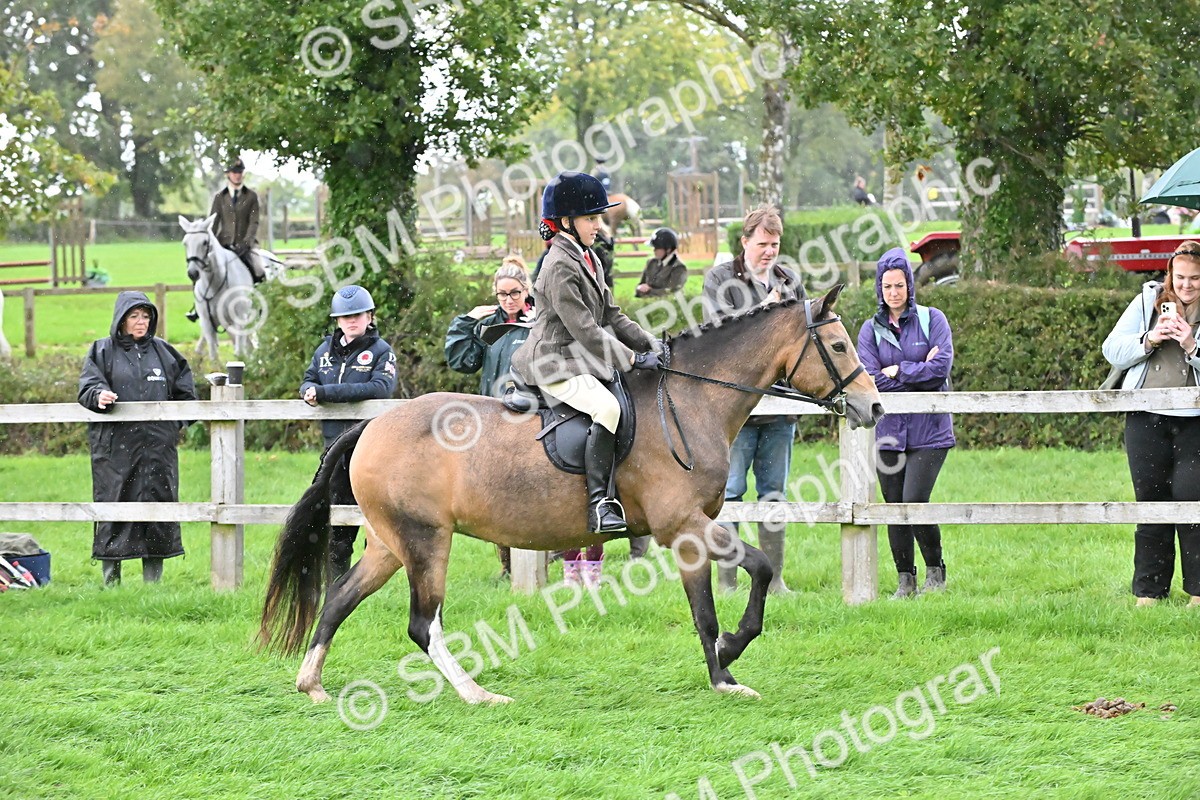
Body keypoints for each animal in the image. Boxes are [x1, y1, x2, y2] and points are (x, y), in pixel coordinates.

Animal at [178, 214, 279, 359]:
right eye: (185, 243)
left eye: (204, 242)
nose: (193, 273)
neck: (215, 284)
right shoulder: (208, 323)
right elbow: (214, 355)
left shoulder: (240, 319)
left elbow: (239, 352)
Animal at [258, 286, 883, 704]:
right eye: (837, 345)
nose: (874, 407)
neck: (689, 400)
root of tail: (371, 425)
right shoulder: (681, 524)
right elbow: (753, 573)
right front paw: (731, 654)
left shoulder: (691, 533)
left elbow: (705, 609)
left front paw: (723, 675)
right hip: (426, 541)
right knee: (422, 623)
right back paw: (478, 695)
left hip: (392, 543)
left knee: (340, 599)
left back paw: (311, 684)